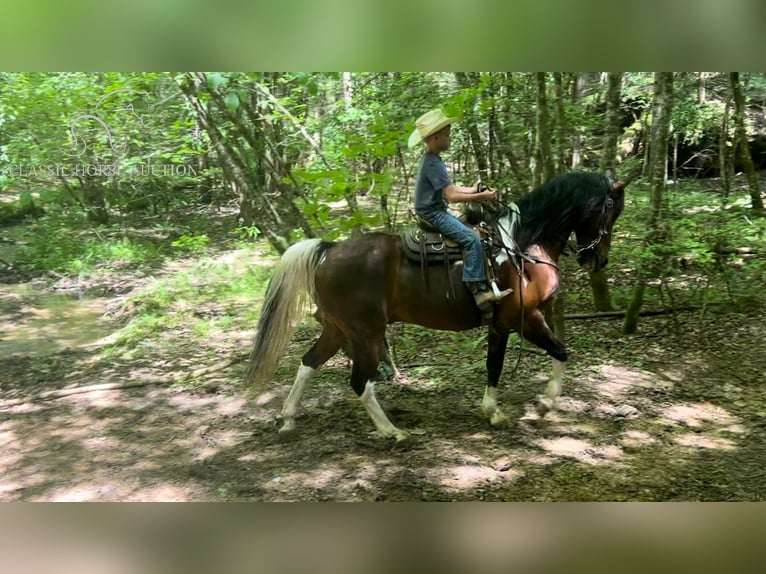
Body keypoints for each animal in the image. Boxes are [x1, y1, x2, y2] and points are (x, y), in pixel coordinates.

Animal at [246, 173, 632, 444]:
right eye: (610, 211)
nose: (597, 260)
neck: (523, 246)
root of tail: (329, 249)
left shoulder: (501, 323)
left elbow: (502, 363)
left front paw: (501, 409)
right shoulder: (522, 317)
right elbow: (553, 353)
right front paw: (541, 403)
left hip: (338, 328)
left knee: (308, 363)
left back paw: (288, 418)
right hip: (366, 332)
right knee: (360, 382)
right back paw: (393, 432)